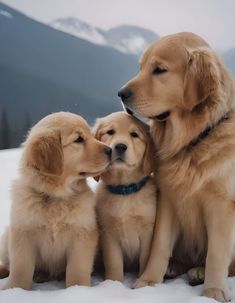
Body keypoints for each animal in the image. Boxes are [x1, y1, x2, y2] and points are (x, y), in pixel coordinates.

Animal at [0, 112, 111, 292]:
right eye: (79, 139)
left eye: (91, 135)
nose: (111, 150)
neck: (56, 197)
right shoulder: (22, 233)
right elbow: (20, 269)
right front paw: (15, 289)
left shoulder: (82, 234)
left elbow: (77, 269)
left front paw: (79, 289)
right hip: (6, 236)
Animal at [92, 111, 157, 282]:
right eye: (110, 132)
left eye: (134, 135)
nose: (120, 146)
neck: (125, 192)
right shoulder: (108, 233)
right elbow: (114, 262)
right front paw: (114, 283)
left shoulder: (148, 231)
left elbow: (145, 259)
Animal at [118, 32, 235, 302]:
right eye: (140, 67)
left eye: (159, 70)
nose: (121, 93)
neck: (192, 141)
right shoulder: (168, 199)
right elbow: (159, 245)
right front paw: (148, 281)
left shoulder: (222, 205)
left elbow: (216, 253)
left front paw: (214, 290)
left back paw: (200, 271)